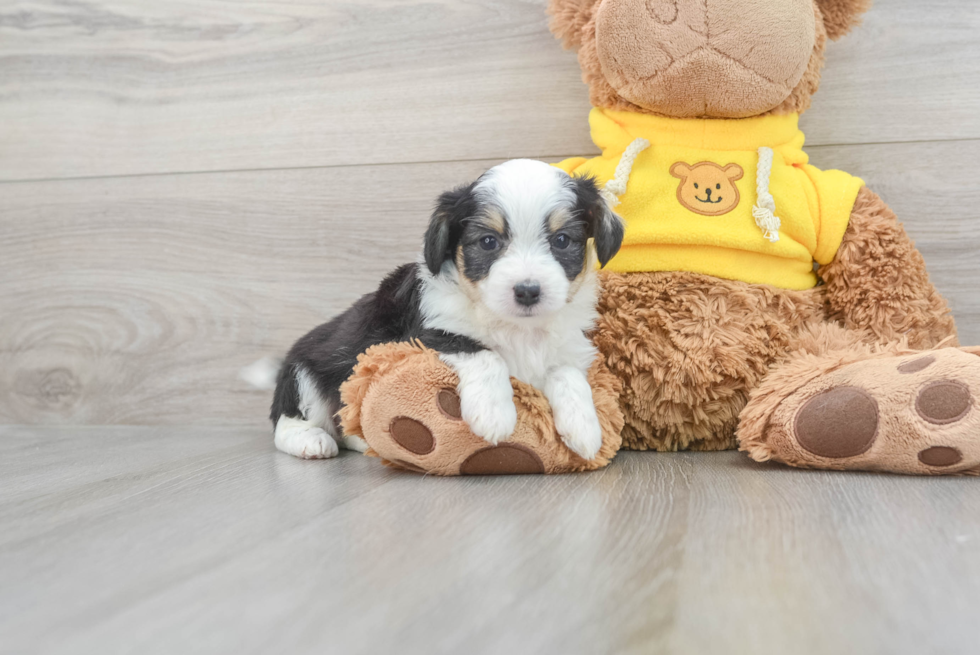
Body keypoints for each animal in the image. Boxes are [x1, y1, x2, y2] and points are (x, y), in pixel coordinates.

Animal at [270, 160, 620, 462]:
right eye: (488, 241)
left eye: (562, 240)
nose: (528, 291)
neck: (518, 328)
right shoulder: (423, 334)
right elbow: (484, 353)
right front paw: (493, 414)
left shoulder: (569, 345)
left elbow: (568, 374)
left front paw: (585, 428)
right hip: (305, 372)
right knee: (286, 421)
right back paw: (310, 440)